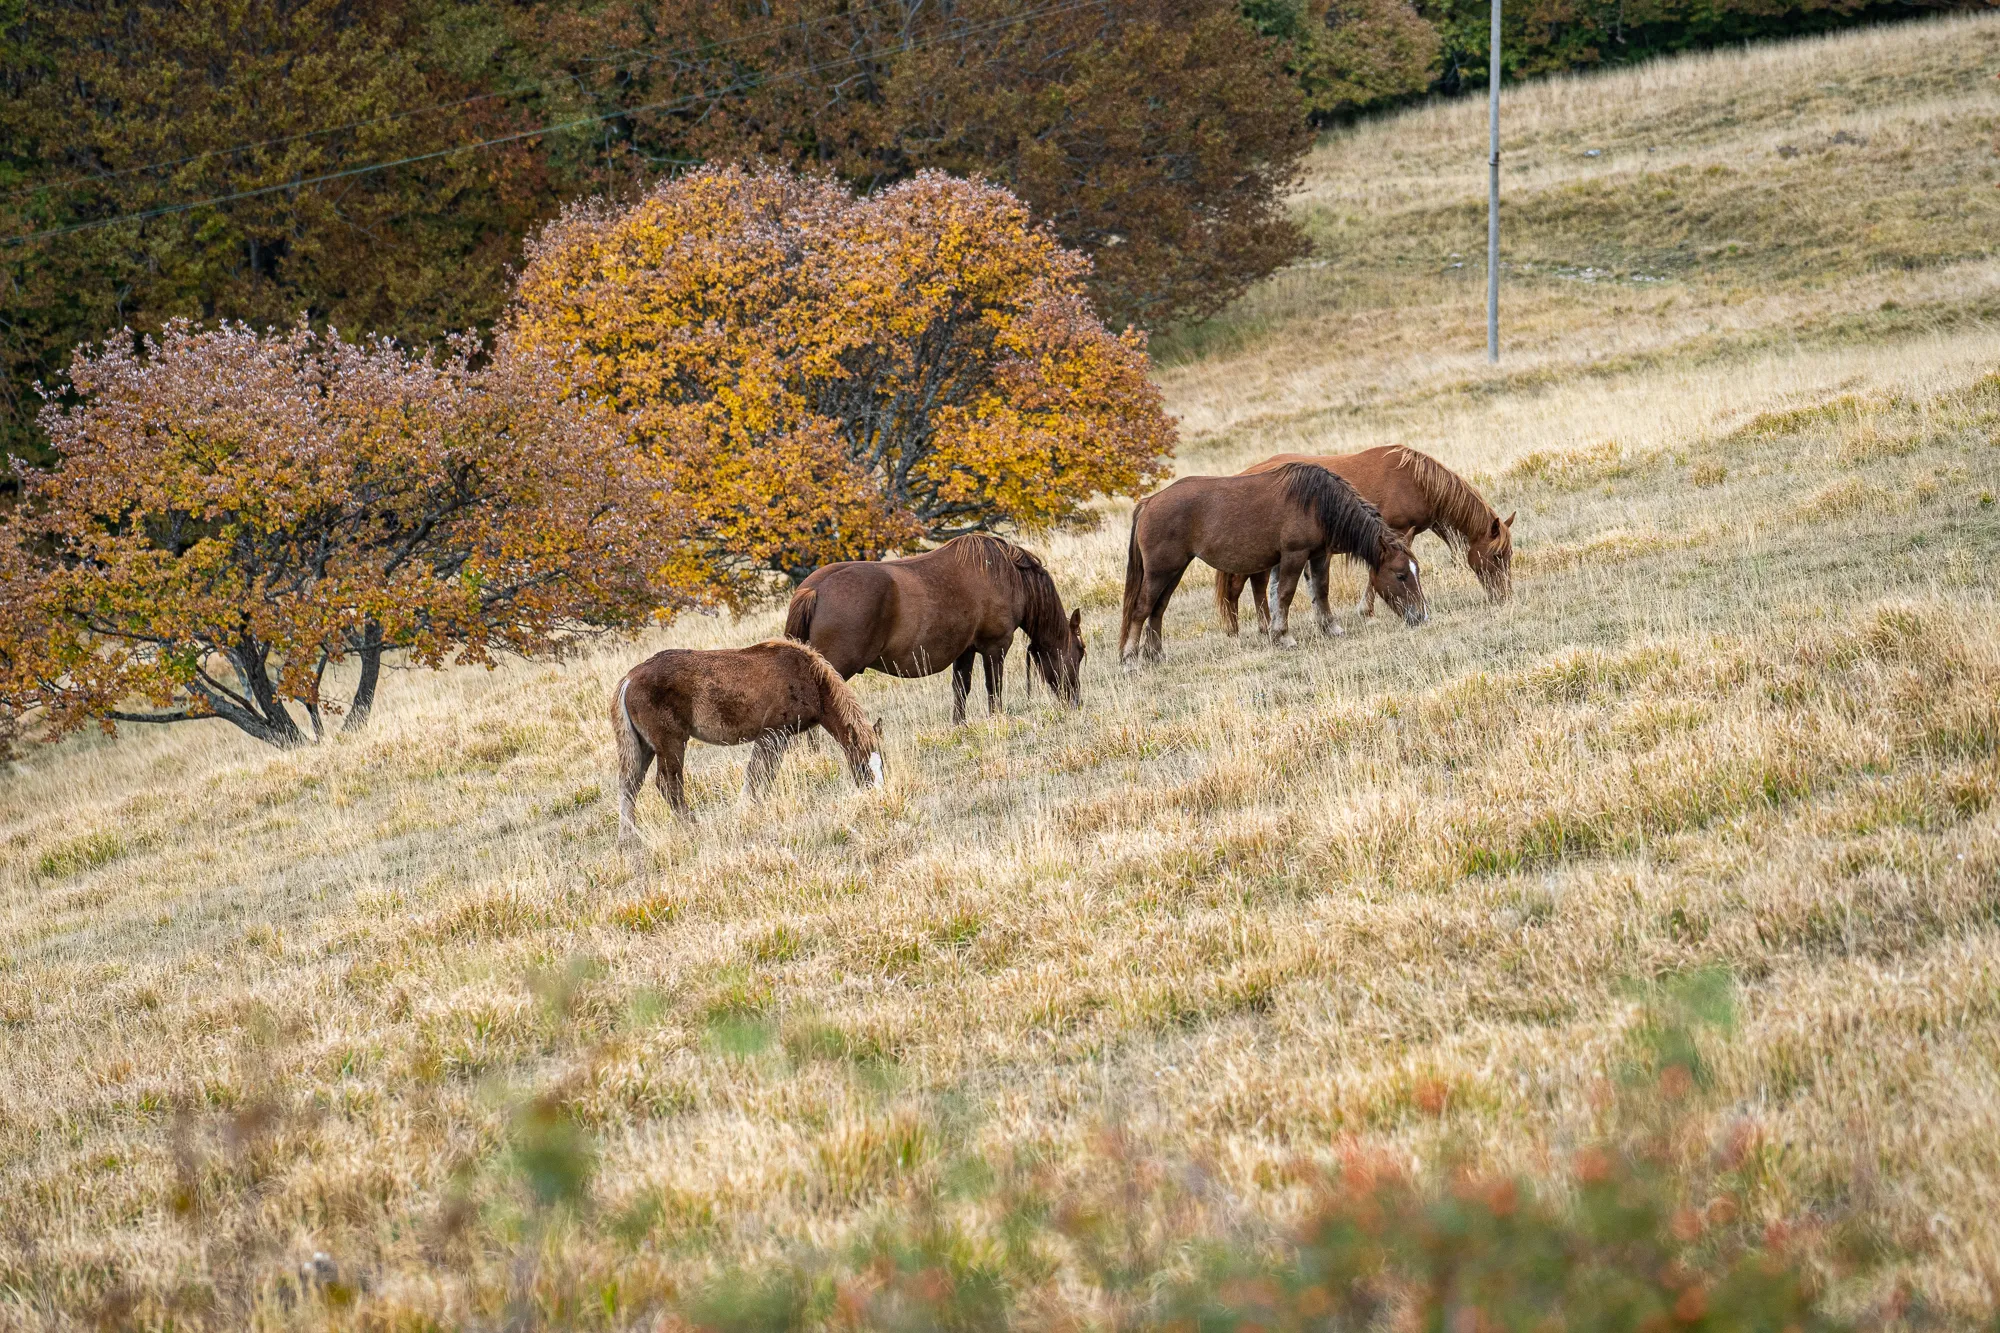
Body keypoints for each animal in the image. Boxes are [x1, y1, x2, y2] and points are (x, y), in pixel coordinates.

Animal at [612, 639, 883, 839]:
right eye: (862, 767)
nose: (877, 796)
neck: (808, 679)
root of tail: (629, 679)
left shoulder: (779, 737)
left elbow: (765, 773)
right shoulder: (772, 733)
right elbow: (756, 773)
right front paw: (744, 811)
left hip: (645, 747)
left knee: (630, 785)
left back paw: (628, 838)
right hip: (671, 743)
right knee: (668, 784)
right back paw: (692, 827)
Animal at [784, 532, 1085, 724]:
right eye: (1080, 652)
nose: (1076, 702)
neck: (1007, 573)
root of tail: (814, 590)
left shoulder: (966, 650)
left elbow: (961, 688)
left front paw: (959, 725)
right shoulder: (995, 647)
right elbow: (994, 688)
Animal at [1119, 462, 1426, 666]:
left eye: (1416, 573)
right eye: (1401, 575)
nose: (1422, 616)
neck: (1316, 502)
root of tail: (1149, 502)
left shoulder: (1316, 556)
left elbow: (1320, 590)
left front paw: (1330, 628)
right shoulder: (1294, 555)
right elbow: (1285, 595)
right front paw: (1283, 636)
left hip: (1174, 571)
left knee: (1158, 610)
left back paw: (1156, 654)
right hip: (1160, 572)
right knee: (1142, 609)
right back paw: (1130, 657)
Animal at [1215, 446, 1514, 635]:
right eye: (1497, 556)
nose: (1505, 596)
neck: (1415, 481)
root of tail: (1243, 475)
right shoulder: (1393, 533)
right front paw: (1366, 611)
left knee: (1257, 584)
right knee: (1237, 587)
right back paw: (1238, 631)